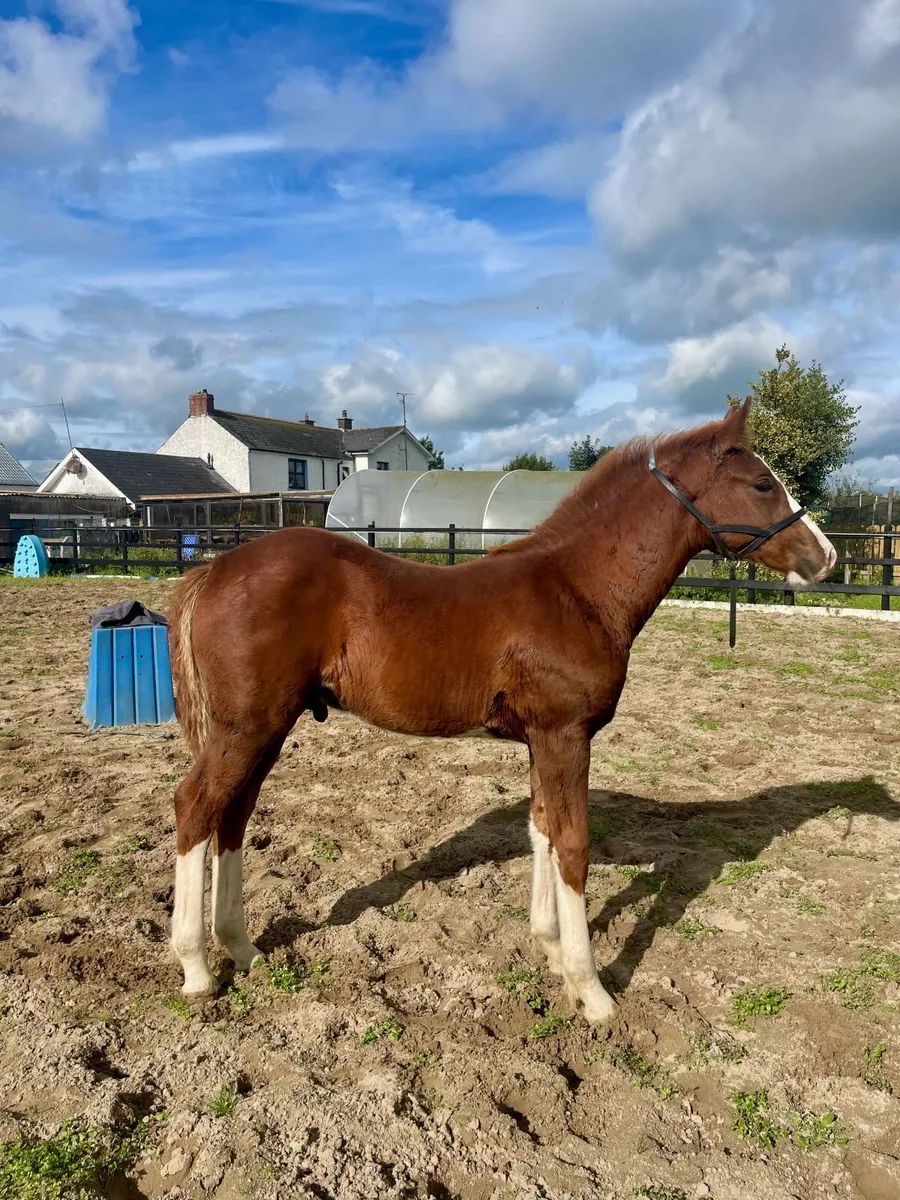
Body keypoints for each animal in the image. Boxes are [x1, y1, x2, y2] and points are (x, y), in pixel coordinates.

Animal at [167, 398, 836, 1022]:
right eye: (762, 484)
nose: (825, 558)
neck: (578, 590)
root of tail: (215, 569)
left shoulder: (543, 738)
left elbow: (541, 829)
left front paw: (550, 951)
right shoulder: (567, 734)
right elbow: (573, 845)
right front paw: (592, 991)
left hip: (264, 728)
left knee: (233, 814)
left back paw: (243, 948)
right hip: (246, 727)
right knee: (196, 807)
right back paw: (197, 968)